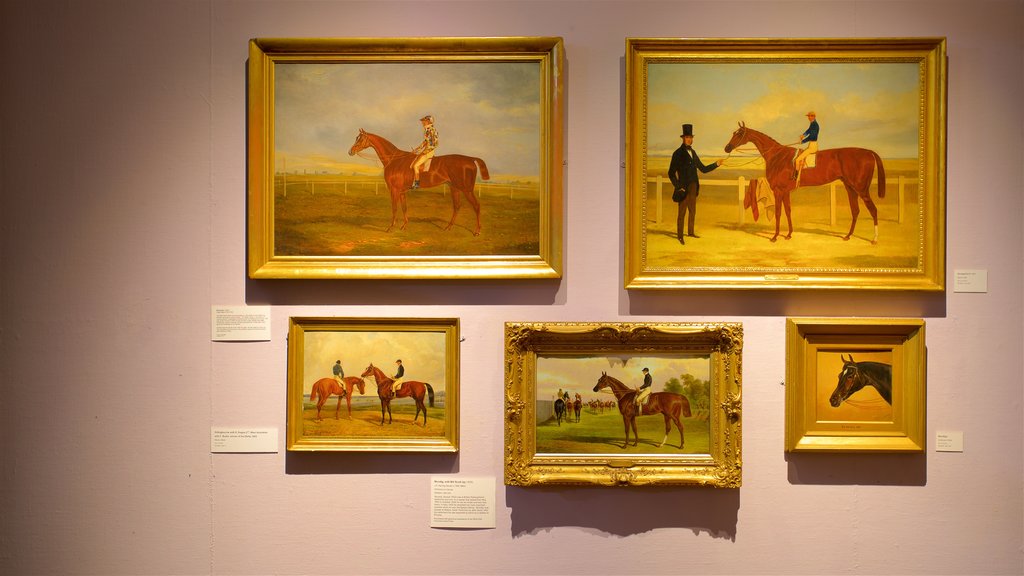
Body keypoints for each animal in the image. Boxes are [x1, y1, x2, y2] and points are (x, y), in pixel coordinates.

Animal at [346, 130, 489, 235]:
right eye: (356, 137)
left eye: (360, 139)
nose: (350, 151)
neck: (394, 159)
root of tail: (470, 159)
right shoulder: (402, 192)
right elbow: (404, 207)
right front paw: (404, 226)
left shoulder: (394, 190)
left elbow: (394, 208)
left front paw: (390, 227)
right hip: (454, 188)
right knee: (457, 206)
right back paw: (448, 227)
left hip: (466, 190)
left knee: (476, 206)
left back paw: (477, 231)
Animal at [724, 121, 884, 242]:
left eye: (739, 133)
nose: (727, 148)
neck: (777, 156)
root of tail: (869, 152)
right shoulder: (785, 191)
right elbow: (788, 211)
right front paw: (788, 234)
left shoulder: (778, 191)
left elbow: (778, 213)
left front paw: (775, 237)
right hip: (850, 188)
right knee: (855, 211)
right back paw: (848, 236)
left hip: (861, 189)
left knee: (873, 210)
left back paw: (875, 239)